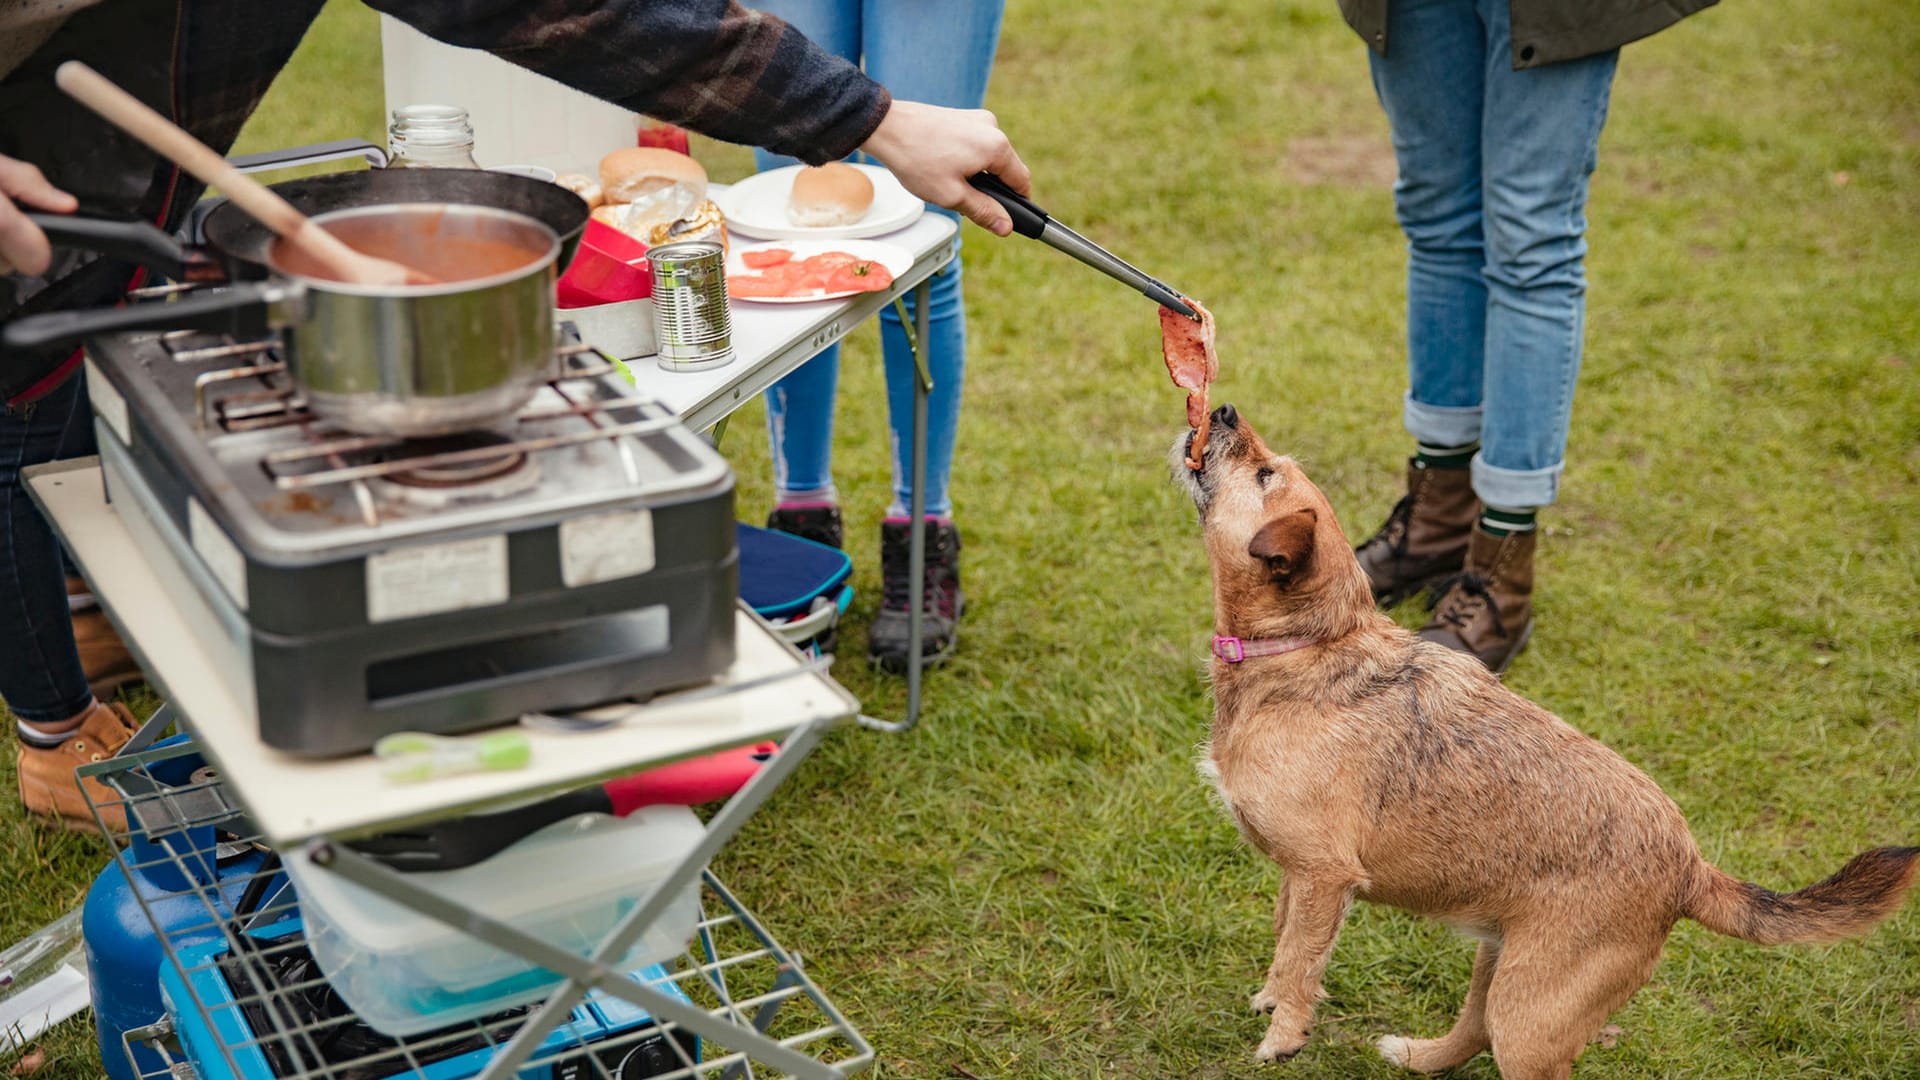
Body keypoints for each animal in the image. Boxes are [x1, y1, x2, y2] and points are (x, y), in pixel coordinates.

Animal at [1159, 401, 1912, 1076]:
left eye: (1265, 474)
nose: (1222, 409)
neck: (1311, 647)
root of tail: (1692, 869)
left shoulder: (1323, 875)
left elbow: (1300, 959)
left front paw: (1283, 1034)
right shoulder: (1299, 877)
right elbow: (1284, 936)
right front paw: (1270, 1000)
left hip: (1532, 1009)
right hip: (1504, 965)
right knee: (1472, 1031)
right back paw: (1418, 1055)